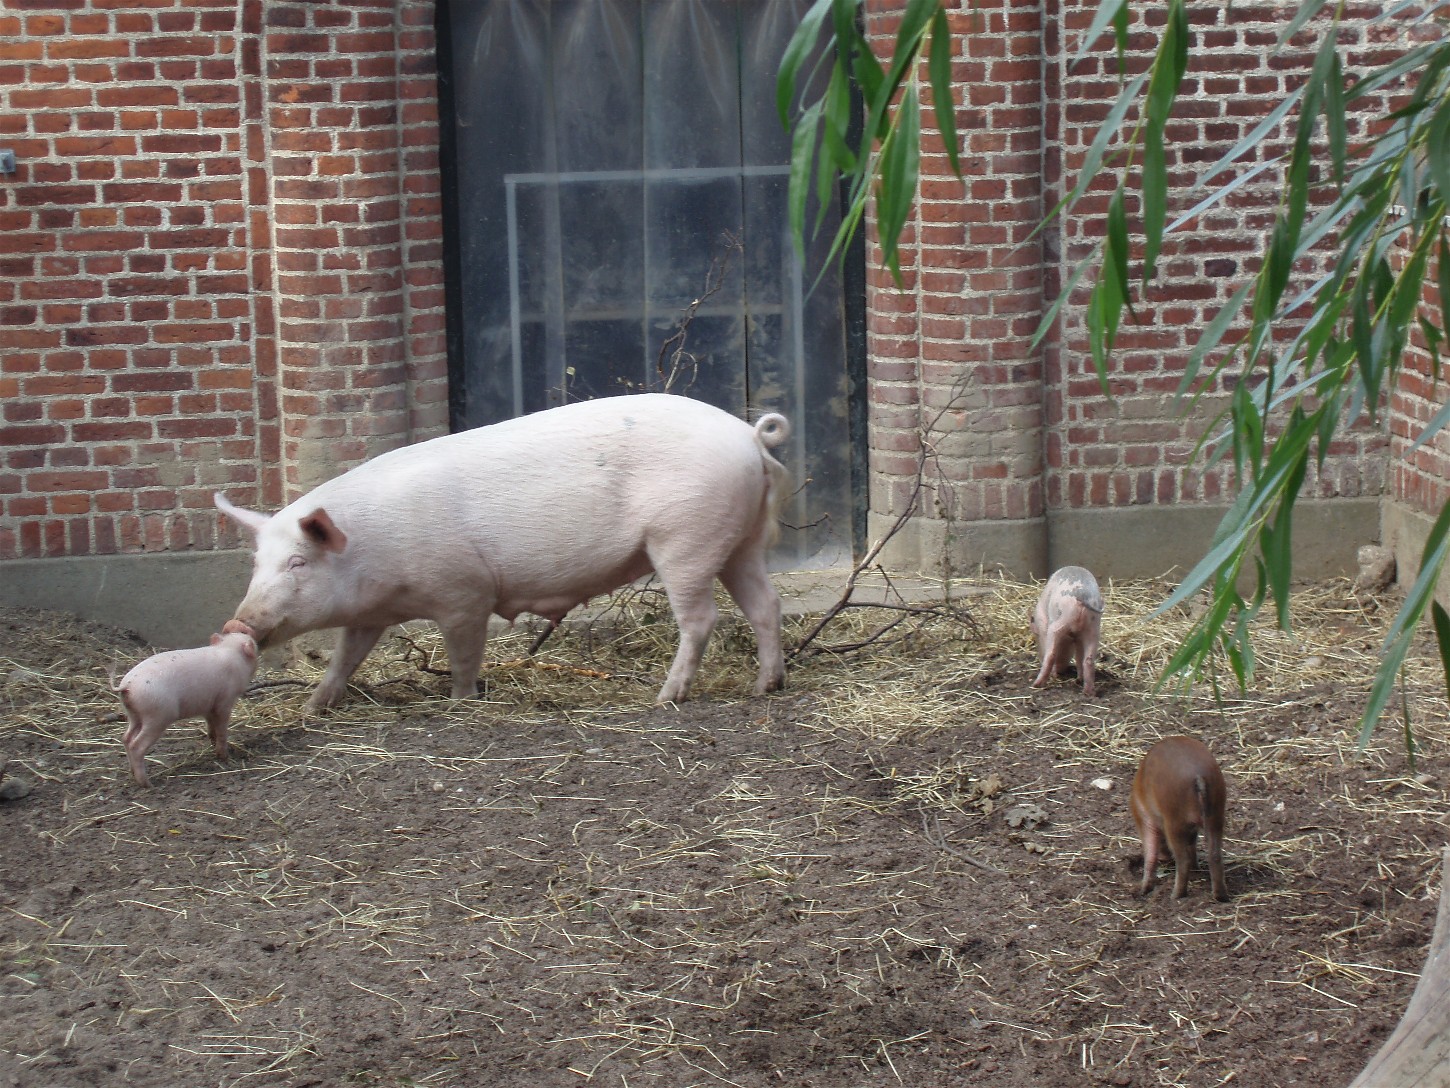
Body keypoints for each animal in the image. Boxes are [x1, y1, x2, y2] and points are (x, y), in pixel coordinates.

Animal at [113, 629, 259, 787]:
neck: (230, 650)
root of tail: (127, 686)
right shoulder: (224, 701)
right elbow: (221, 729)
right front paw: (225, 757)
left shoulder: (208, 704)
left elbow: (211, 726)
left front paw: (213, 744)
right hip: (156, 716)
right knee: (137, 746)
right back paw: (148, 784)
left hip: (133, 714)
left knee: (126, 738)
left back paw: (132, 773)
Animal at [214, 393, 792, 712]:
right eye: (257, 564)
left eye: (298, 562)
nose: (236, 624)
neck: (372, 552)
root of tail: (749, 436)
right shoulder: (368, 614)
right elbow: (344, 659)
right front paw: (313, 707)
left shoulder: (464, 592)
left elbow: (464, 653)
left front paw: (461, 701)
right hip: (740, 539)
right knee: (766, 605)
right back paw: (766, 687)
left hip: (684, 538)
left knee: (701, 617)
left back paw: (666, 697)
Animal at [1030, 565, 1103, 697]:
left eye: (1036, 639)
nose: (1061, 671)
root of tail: (1081, 596)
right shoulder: (1079, 639)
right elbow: (1079, 656)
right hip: (1093, 628)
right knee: (1088, 660)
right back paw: (1087, 691)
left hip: (1059, 624)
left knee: (1051, 655)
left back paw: (1037, 684)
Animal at [1130, 735, 1228, 901]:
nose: (1165, 859)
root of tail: (1198, 776)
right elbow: (1192, 844)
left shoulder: (1146, 820)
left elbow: (1150, 851)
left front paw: (1143, 890)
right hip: (1216, 815)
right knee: (1214, 855)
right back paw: (1220, 897)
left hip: (1175, 822)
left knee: (1183, 861)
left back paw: (1175, 896)